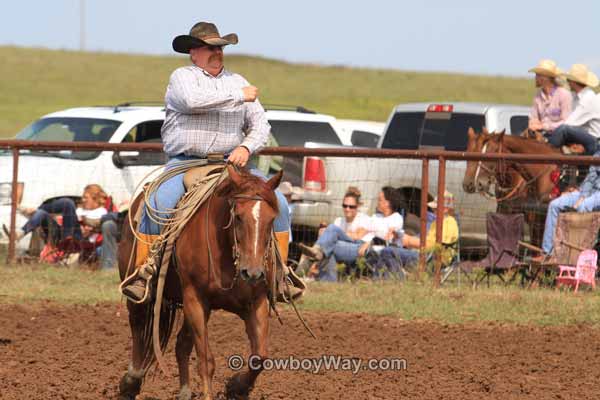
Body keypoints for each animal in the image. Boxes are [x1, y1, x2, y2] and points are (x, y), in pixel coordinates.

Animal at [120, 165, 286, 400]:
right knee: (138, 323)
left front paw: (236, 387)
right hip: (140, 290)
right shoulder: (195, 300)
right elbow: (206, 361)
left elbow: (260, 357)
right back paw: (131, 381)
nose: (253, 273)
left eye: (272, 219)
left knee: (181, 343)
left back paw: (184, 392)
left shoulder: (256, 301)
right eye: (238, 217)